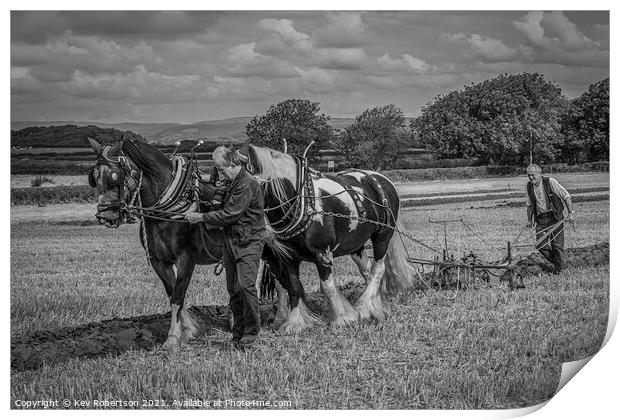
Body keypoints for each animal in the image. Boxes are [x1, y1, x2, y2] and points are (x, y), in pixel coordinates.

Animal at [247, 145, 416, 334]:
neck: (302, 200)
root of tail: (381, 179)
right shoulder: (287, 257)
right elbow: (292, 286)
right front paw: (294, 322)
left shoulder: (322, 253)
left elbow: (326, 286)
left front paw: (343, 318)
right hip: (356, 245)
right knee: (367, 271)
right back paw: (376, 304)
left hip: (383, 236)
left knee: (378, 269)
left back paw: (364, 307)